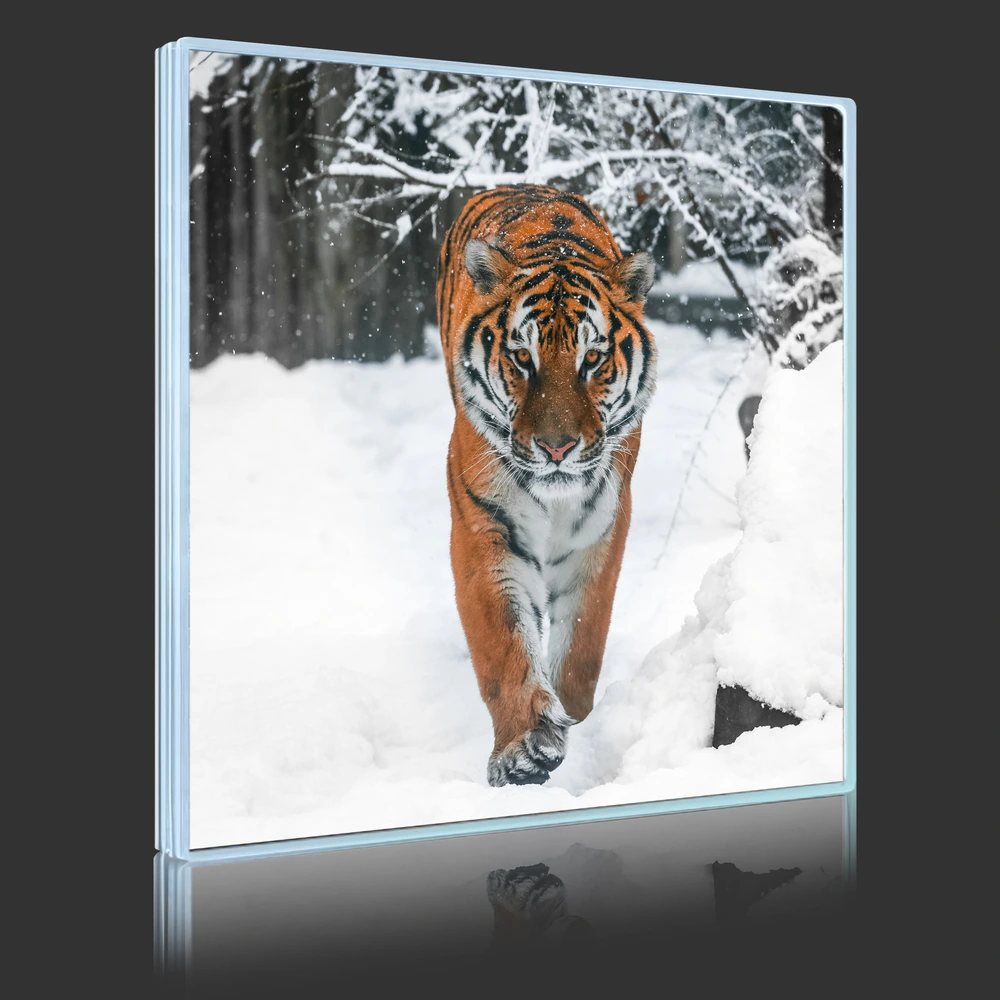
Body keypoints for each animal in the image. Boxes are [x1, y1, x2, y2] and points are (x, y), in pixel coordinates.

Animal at [436, 184, 657, 787]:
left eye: (593, 359)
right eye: (521, 358)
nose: (557, 449)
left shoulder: (602, 529)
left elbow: (582, 641)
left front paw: (570, 717)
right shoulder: (485, 526)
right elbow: (504, 644)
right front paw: (525, 749)